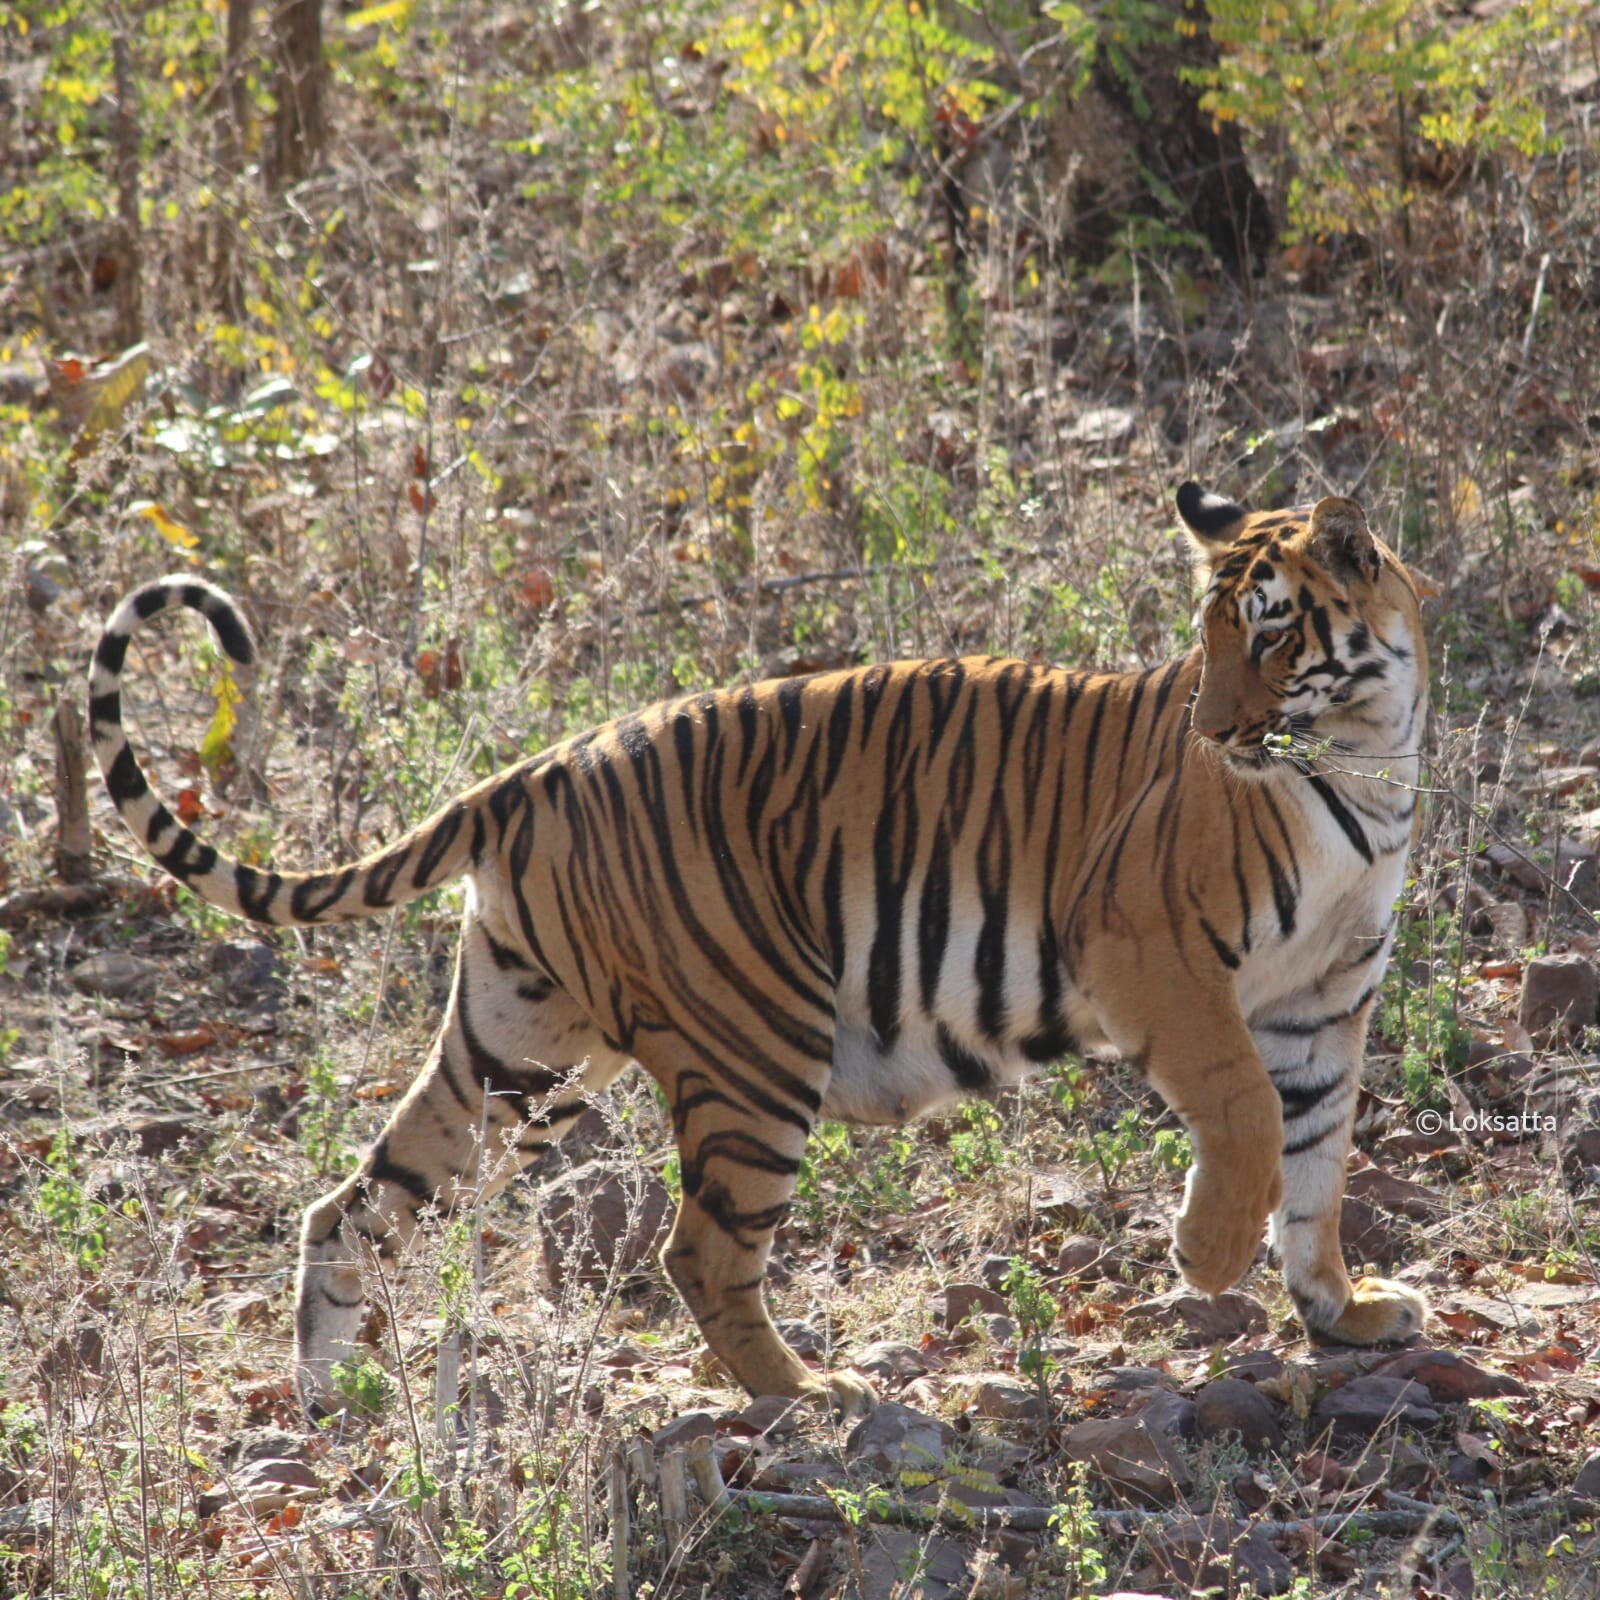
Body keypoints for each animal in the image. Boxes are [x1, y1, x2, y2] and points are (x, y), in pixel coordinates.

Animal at [90, 483, 1427, 1414]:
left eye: (1266, 636)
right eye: (1207, 638)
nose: (1213, 729)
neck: (1368, 752)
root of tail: (534, 770)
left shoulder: (1325, 1000)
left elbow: (1318, 1160)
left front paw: (1341, 1312)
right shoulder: (1153, 951)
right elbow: (1248, 1115)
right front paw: (1207, 1256)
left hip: (518, 1047)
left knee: (356, 1201)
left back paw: (335, 1394)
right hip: (755, 1047)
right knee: (700, 1250)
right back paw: (804, 1391)